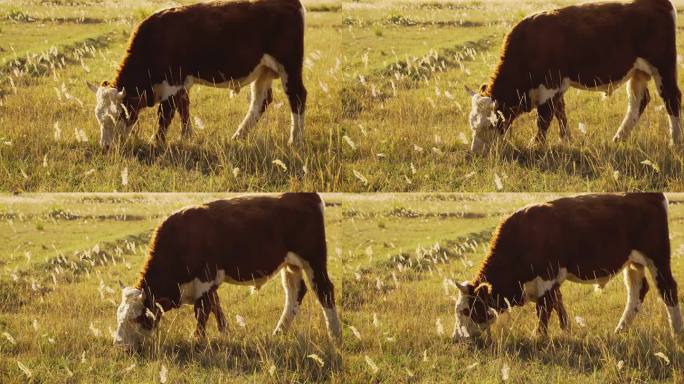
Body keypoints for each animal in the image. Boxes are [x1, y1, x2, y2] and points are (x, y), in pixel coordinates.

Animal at [88, 0, 308, 150]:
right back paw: (238, 136)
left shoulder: (172, 82)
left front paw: (156, 142)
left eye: (117, 115)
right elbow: (183, 108)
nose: (105, 147)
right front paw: (186, 136)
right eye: (98, 117)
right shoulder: (181, 83)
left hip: (289, 65)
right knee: (260, 102)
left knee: (297, 96)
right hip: (263, 71)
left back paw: (295, 140)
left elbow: (165, 115)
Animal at [112, 194, 342, 350]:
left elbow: (202, 311)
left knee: (325, 291)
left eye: (136, 318)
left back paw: (335, 335)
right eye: (118, 317)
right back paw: (279, 332)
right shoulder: (209, 284)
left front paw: (197, 340)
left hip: (314, 260)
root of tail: (306, 195)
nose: (119, 344)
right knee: (295, 293)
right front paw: (225, 333)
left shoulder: (205, 279)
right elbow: (216, 307)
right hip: (291, 265)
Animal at [452, 194, 680, 340]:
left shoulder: (545, 278)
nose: (456, 338)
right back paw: (620, 330)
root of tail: (650, 195)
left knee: (668, 289)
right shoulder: (553, 281)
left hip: (657, 258)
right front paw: (565, 329)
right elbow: (558, 303)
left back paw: (676, 332)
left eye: (466, 310)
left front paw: (539, 336)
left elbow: (544, 309)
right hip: (634, 263)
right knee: (637, 291)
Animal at [468, 1, 680, 156]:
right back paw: (619, 138)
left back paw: (675, 142)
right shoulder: (557, 87)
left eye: (490, 124)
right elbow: (561, 112)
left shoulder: (549, 85)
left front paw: (535, 146)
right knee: (638, 102)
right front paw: (566, 139)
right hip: (638, 73)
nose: (475, 153)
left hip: (663, 66)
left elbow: (544, 118)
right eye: (472, 124)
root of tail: (659, 3)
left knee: (672, 99)